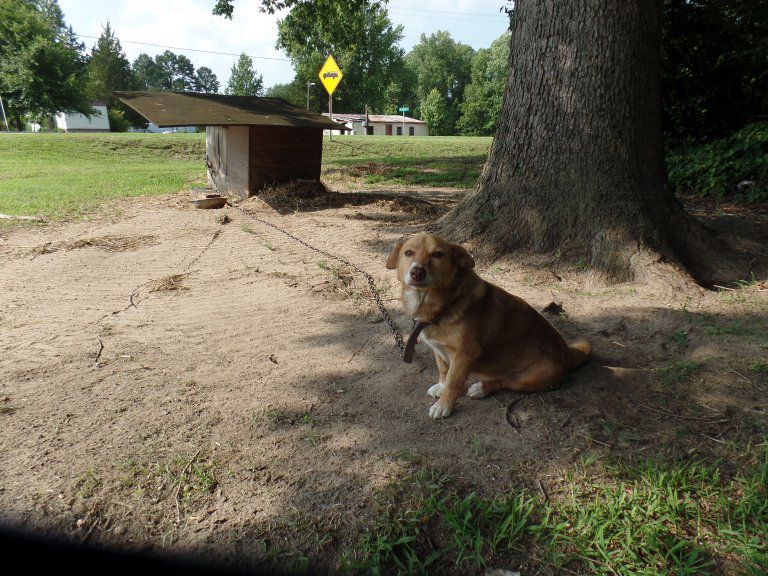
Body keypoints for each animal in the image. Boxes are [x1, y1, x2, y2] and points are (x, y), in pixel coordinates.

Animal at [388, 233, 592, 418]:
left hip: (531, 377)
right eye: (408, 253)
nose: (417, 272)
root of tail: (568, 352)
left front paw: (444, 405)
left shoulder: (464, 356)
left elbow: (453, 383)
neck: (444, 305)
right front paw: (441, 387)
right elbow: (444, 370)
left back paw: (482, 388)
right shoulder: (439, 350)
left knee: (506, 381)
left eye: (437, 254)